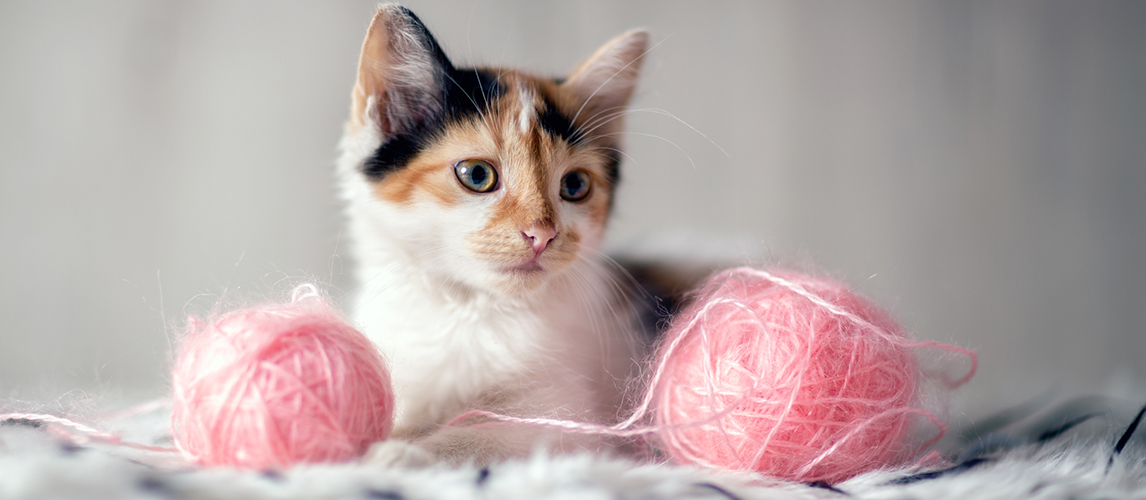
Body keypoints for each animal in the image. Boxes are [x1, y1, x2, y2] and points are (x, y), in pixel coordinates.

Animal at [334, 3, 650, 467]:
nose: (541, 234)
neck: (467, 309)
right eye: (477, 175)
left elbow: (486, 434)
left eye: (575, 185)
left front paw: (400, 453)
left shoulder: (568, 412)